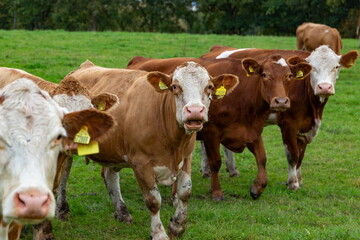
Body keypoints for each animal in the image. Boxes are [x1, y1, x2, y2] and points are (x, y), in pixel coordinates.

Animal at [57, 60, 239, 240]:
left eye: (209, 87)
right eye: (174, 86)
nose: (194, 111)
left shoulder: (186, 156)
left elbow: (185, 192)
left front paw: (177, 226)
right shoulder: (141, 163)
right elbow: (153, 201)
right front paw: (159, 233)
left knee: (110, 175)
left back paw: (122, 212)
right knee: (63, 176)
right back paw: (62, 210)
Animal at [126, 54, 312, 201]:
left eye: (289, 76)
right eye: (265, 75)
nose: (281, 101)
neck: (243, 95)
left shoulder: (251, 131)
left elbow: (262, 158)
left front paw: (257, 188)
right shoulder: (211, 133)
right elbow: (215, 162)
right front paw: (216, 192)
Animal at [200, 45, 358, 190]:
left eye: (336, 66)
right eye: (313, 68)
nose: (324, 87)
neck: (314, 109)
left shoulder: (305, 126)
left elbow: (301, 155)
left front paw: (299, 179)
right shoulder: (288, 124)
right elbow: (293, 154)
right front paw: (292, 183)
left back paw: (231, 169)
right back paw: (207, 170)